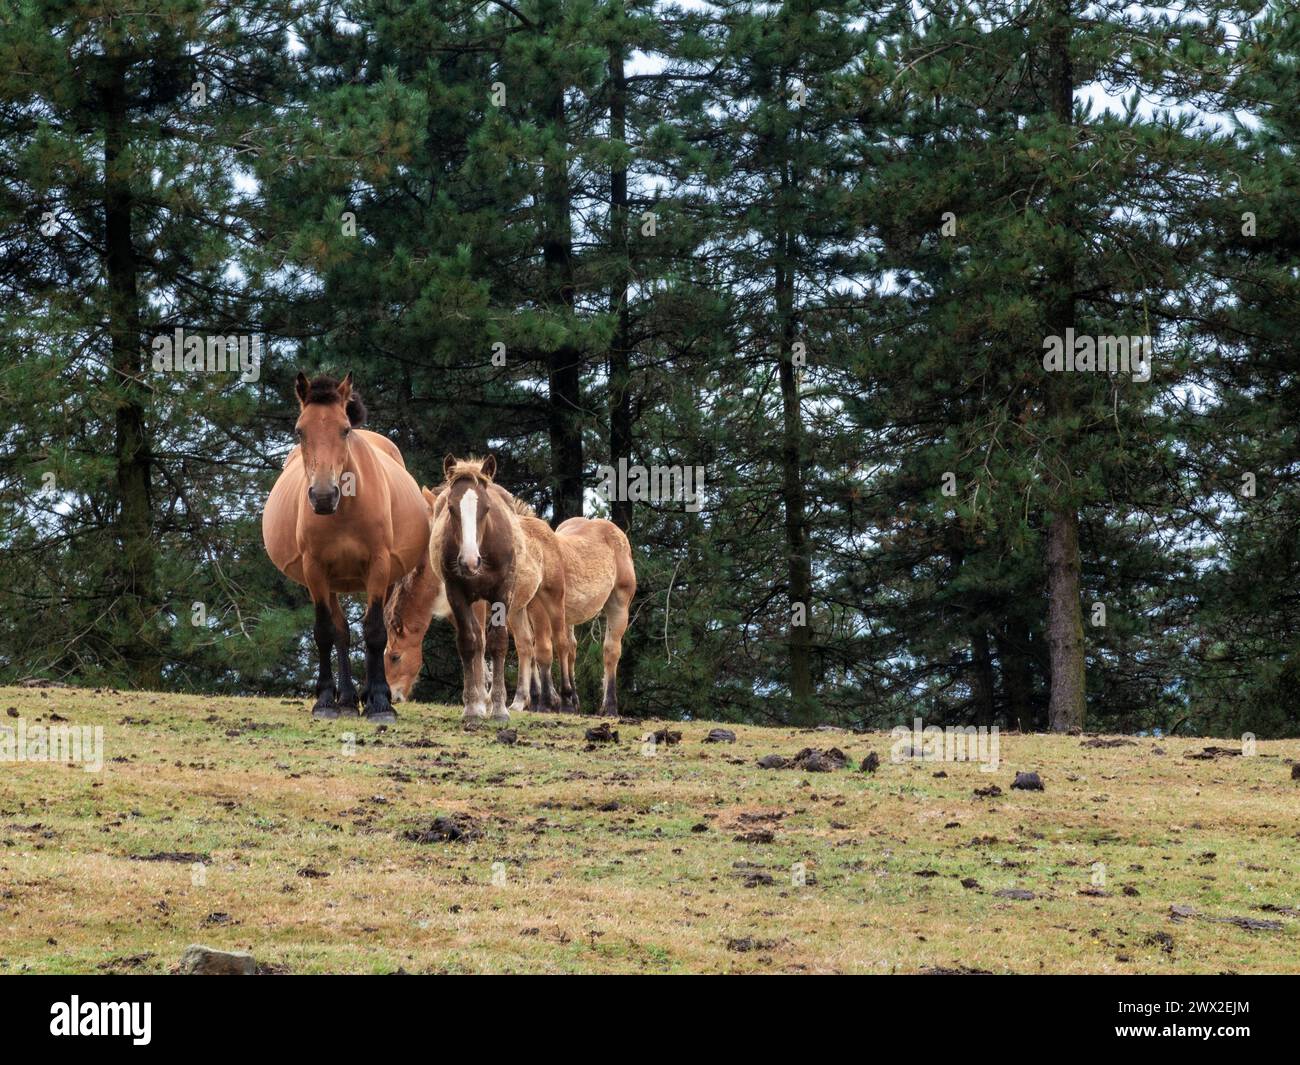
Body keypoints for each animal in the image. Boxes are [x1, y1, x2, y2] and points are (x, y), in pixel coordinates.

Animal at [261, 371, 428, 723]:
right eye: (300, 430)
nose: (324, 496)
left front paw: (380, 703)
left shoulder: (379, 566)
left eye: (345, 429)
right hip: (329, 581)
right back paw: (348, 700)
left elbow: (375, 631)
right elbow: (325, 632)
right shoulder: (315, 570)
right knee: (340, 631)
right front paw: (326, 700)